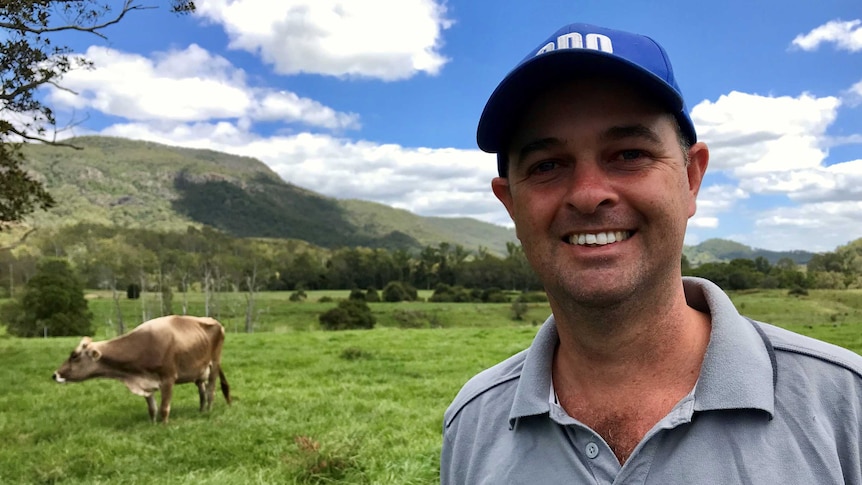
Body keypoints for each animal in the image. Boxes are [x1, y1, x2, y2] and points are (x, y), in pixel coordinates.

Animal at [52, 314, 231, 420]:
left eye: (74, 356)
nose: (55, 374)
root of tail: (215, 321)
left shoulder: (168, 378)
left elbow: (164, 408)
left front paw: (163, 426)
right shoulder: (145, 381)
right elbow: (152, 409)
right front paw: (152, 424)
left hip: (214, 364)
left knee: (210, 390)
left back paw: (208, 412)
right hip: (199, 370)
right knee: (202, 390)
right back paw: (201, 411)